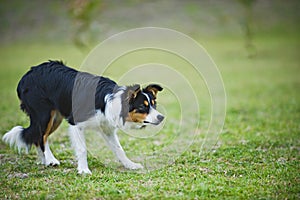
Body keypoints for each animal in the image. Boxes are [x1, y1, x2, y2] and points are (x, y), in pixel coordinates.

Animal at [2, 60, 164, 173]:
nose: (161, 117)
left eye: (153, 104)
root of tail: (27, 75)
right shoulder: (75, 124)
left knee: (38, 137)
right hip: (44, 114)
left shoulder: (106, 129)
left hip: (56, 117)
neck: (111, 102)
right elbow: (82, 149)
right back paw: (50, 160)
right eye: (142, 107)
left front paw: (130, 165)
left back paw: (44, 160)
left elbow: (119, 149)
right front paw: (84, 170)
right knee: (42, 137)